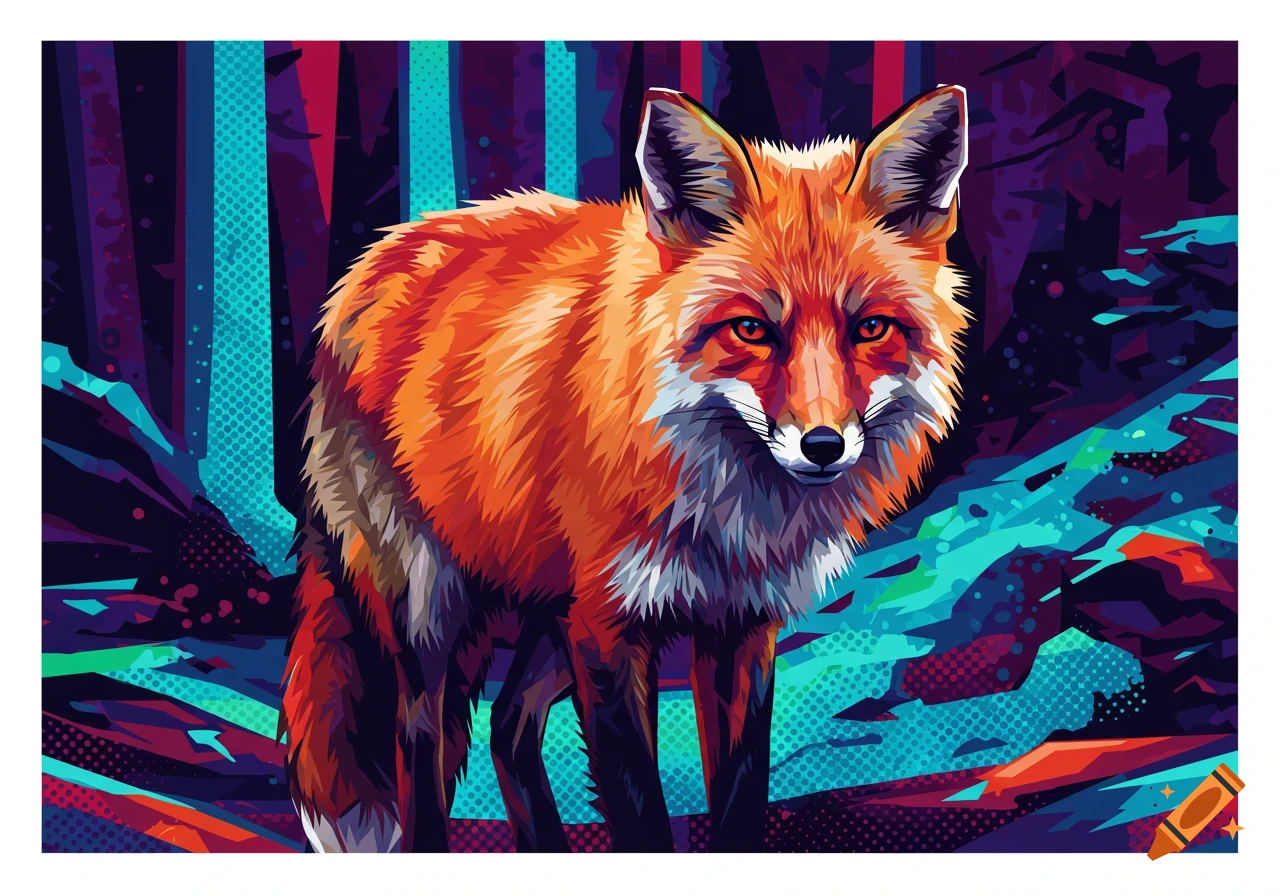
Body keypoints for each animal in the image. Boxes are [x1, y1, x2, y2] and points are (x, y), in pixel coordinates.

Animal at [280, 84, 970, 853]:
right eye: (752, 330)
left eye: (870, 328)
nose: (823, 445)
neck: (726, 516)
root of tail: (374, 257)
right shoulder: (608, 631)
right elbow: (639, 812)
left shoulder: (739, 628)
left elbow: (740, 801)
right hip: (436, 609)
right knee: (420, 742)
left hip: (549, 609)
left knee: (508, 728)